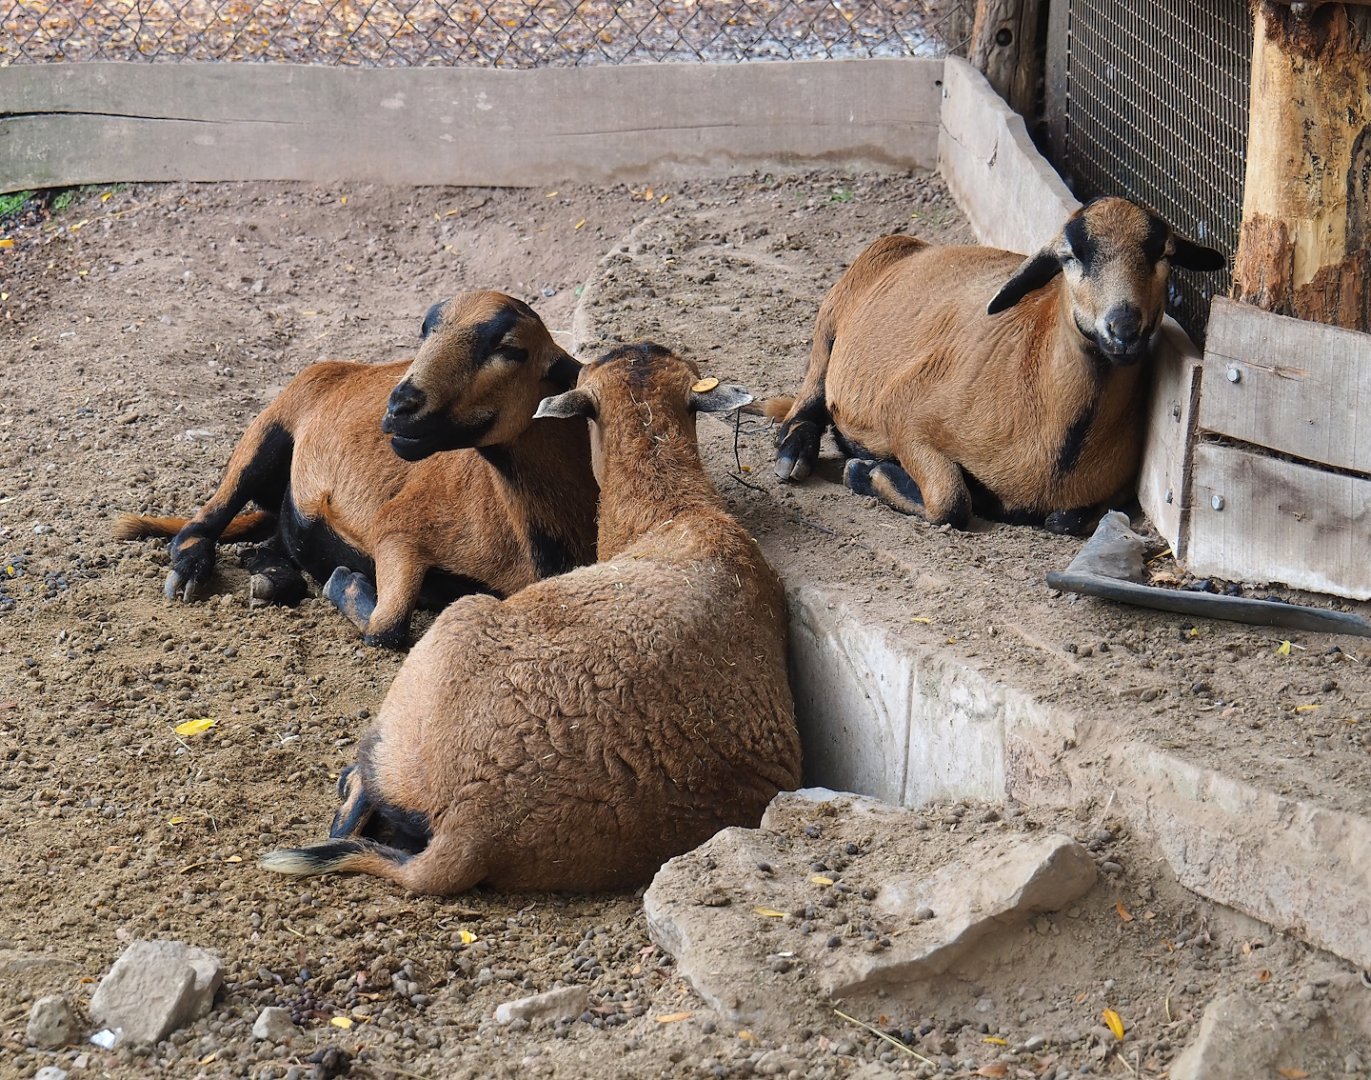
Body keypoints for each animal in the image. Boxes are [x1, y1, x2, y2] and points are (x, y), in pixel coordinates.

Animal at [113, 291, 597, 647]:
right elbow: (388, 629)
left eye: (511, 349)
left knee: (272, 544)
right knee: (206, 518)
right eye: (425, 331)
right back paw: (191, 568)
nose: (399, 407)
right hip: (269, 428)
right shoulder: (397, 529)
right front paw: (344, 581)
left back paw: (271, 579)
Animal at [771, 197, 1226, 534]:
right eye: (1070, 256)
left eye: (1163, 254)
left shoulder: (1110, 491)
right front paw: (864, 471)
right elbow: (951, 501)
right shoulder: (902, 411)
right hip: (832, 318)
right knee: (810, 396)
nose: (1124, 328)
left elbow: (1067, 520)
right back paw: (793, 452)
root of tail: (920, 245)